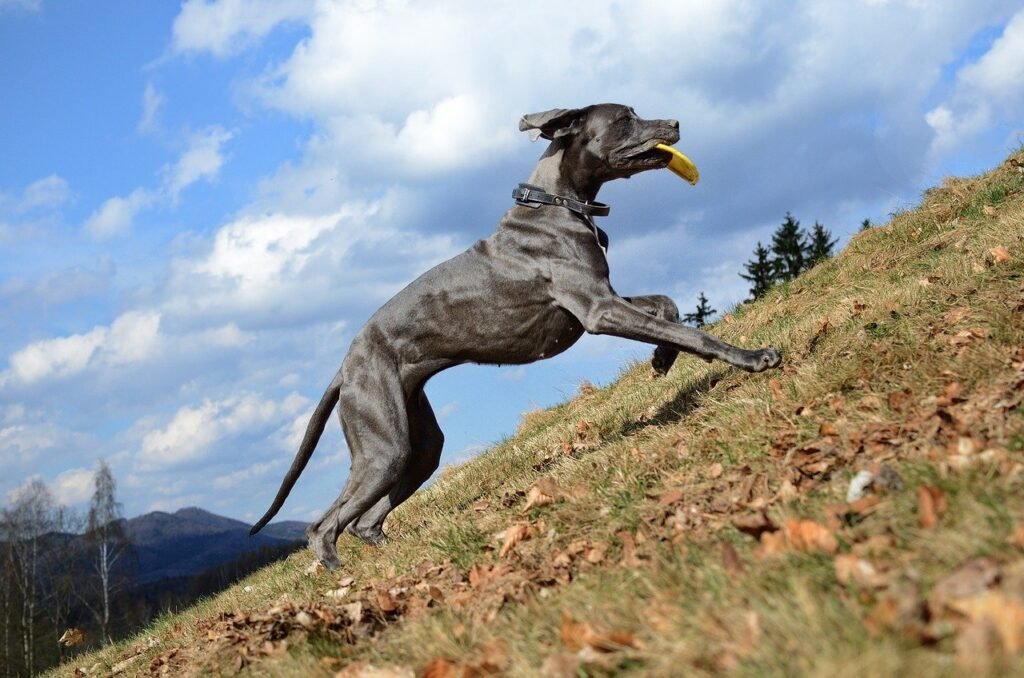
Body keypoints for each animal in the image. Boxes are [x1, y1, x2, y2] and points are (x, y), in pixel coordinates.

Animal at [251, 103, 778, 569]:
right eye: (625, 117)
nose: (676, 122)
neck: (558, 204)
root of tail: (345, 368)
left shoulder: (604, 299)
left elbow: (667, 306)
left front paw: (663, 358)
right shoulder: (598, 310)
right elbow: (694, 333)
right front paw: (753, 358)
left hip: (419, 444)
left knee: (366, 518)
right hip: (382, 446)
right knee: (323, 526)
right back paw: (338, 571)